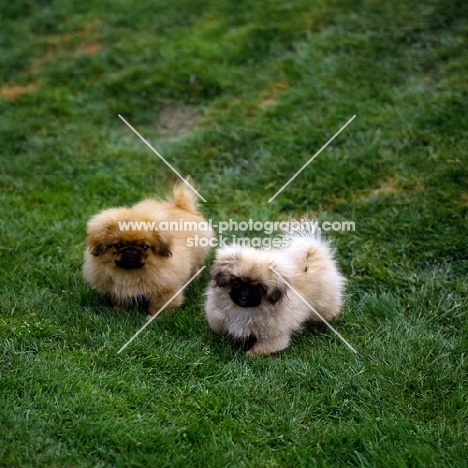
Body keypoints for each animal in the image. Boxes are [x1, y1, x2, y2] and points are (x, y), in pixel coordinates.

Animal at [83, 181, 213, 316]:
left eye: (144, 246)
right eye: (118, 245)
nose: (131, 250)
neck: (130, 274)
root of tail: (181, 206)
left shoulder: (166, 290)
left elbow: (159, 305)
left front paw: (156, 316)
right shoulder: (117, 291)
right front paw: (119, 311)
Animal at [207, 227, 346, 354]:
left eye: (260, 289)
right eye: (236, 282)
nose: (246, 291)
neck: (244, 311)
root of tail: (314, 255)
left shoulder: (275, 338)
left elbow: (259, 349)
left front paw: (249, 354)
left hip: (324, 305)